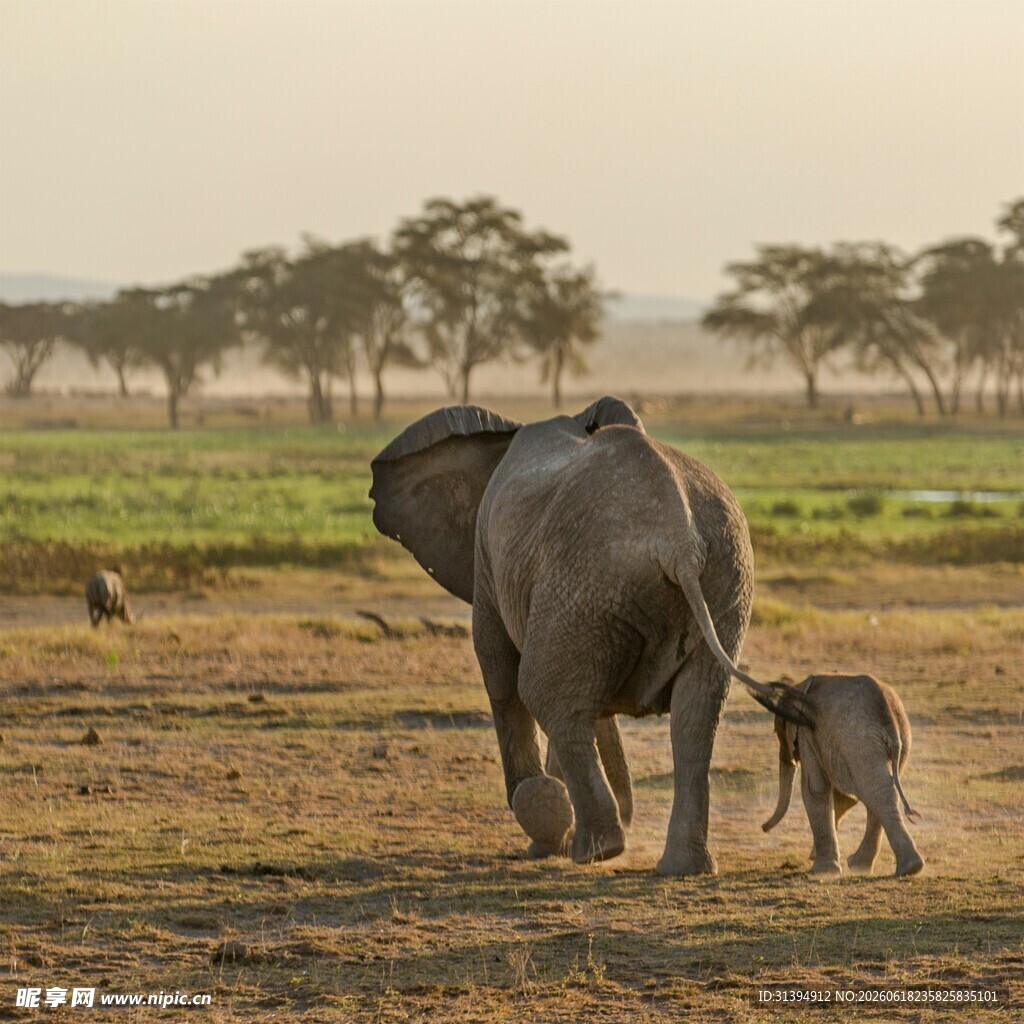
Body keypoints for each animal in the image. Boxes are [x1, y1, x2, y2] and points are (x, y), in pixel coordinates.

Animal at [370, 397, 809, 876]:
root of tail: (680, 538)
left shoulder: (489, 557)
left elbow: (501, 674)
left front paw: (545, 835)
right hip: (708, 582)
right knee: (695, 715)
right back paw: (678, 866)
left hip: (589, 585)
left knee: (546, 693)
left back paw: (597, 849)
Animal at [762, 673, 924, 877]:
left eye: (778, 732)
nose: (763, 827)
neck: (799, 687)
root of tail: (890, 717)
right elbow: (844, 796)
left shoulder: (808, 734)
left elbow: (814, 789)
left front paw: (823, 870)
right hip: (897, 740)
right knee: (880, 791)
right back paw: (889, 867)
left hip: (859, 741)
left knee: (875, 792)